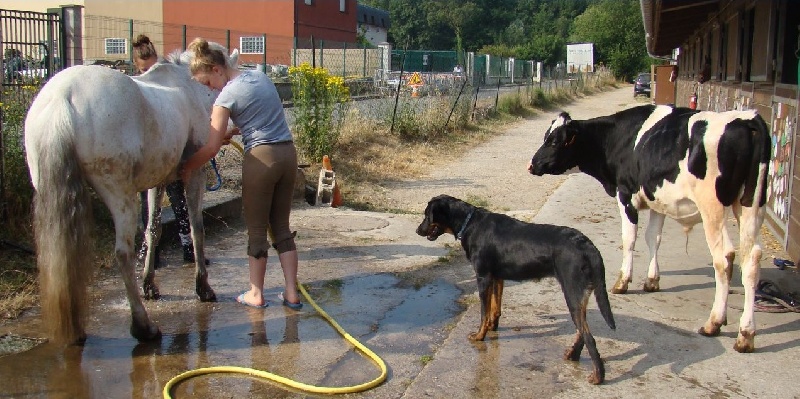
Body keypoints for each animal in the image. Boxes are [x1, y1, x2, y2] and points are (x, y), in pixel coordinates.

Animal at [418, 195, 620, 386]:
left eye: (427, 215)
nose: (418, 230)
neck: (469, 223)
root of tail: (588, 246)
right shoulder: (497, 277)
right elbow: (495, 308)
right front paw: (493, 327)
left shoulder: (483, 277)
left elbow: (484, 312)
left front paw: (480, 335)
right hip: (578, 295)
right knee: (582, 330)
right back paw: (573, 354)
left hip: (571, 290)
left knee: (588, 335)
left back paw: (598, 376)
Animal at [528, 104, 772, 354]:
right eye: (546, 136)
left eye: (554, 141)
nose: (532, 164)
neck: (617, 137)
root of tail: (747, 118)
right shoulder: (657, 198)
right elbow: (653, 237)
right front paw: (652, 280)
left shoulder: (625, 193)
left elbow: (629, 238)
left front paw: (623, 281)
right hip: (751, 205)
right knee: (749, 259)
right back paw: (745, 334)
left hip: (712, 208)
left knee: (723, 258)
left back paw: (713, 323)